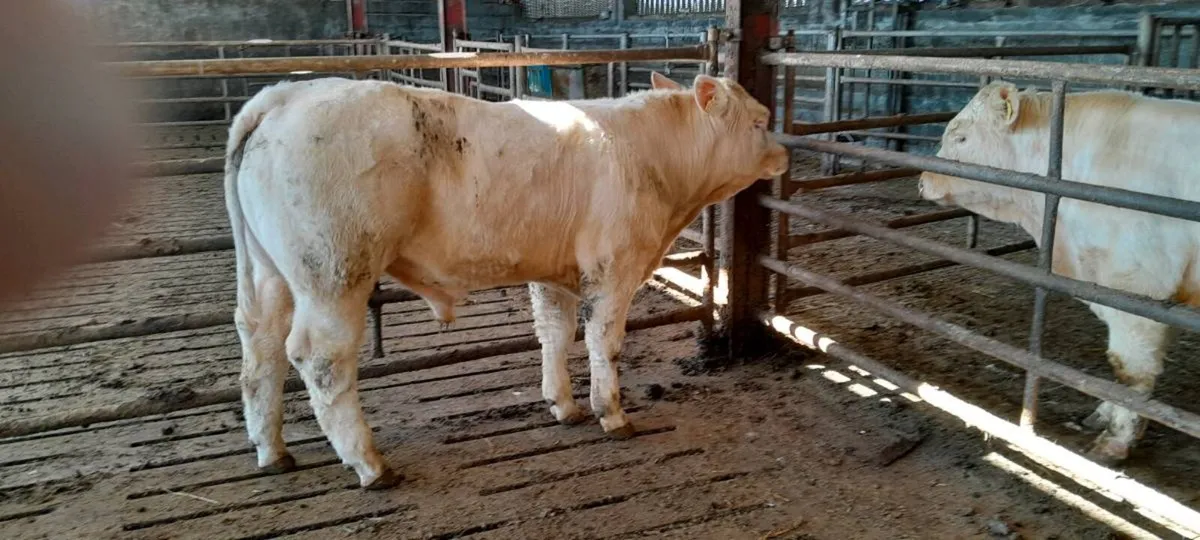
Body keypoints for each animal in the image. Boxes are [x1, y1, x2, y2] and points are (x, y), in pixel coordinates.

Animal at [224, 71, 789, 488]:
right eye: (761, 120)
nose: (785, 154)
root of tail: (288, 93)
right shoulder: (614, 266)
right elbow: (604, 343)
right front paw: (611, 413)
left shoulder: (557, 272)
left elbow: (556, 334)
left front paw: (563, 405)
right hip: (334, 272)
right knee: (320, 359)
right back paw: (369, 463)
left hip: (269, 274)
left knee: (261, 348)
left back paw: (272, 450)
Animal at [919, 80, 1200, 465]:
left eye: (961, 137)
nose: (922, 180)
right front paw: (1103, 414)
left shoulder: (1139, 286)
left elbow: (1130, 370)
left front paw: (1115, 441)